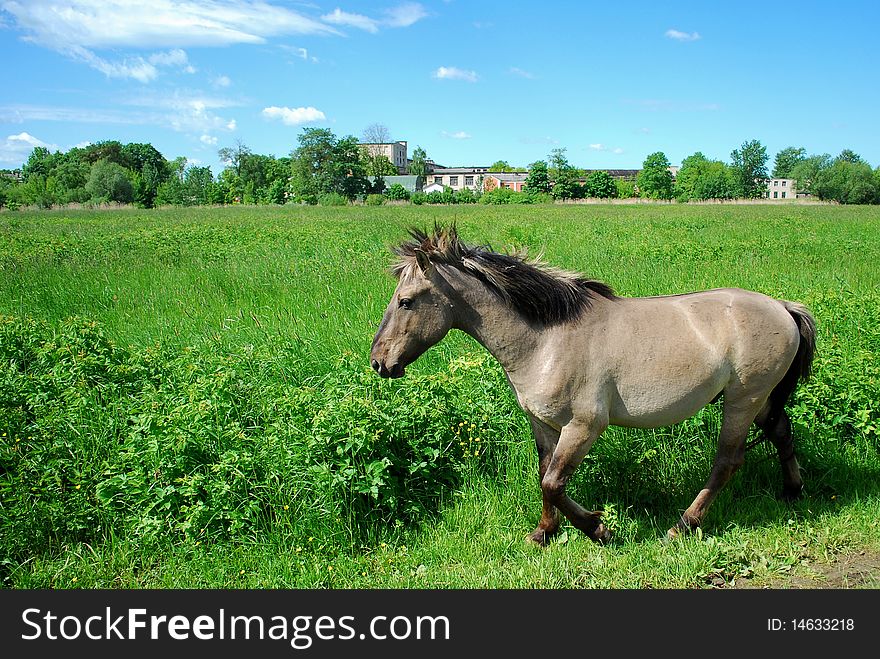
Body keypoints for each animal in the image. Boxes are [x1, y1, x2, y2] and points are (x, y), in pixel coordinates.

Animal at [370, 224, 820, 544]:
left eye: (406, 301)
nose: (379, 362)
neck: (546, 339)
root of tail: (783, 307)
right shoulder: (543, 423)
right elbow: (544, 474)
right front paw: (544, 533)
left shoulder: (585, 425)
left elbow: (553, 482)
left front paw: (598, 529)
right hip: (759, 399)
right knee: (781, 432)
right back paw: (793, 492)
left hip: (743, 399)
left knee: (727, 461)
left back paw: (682, 526)